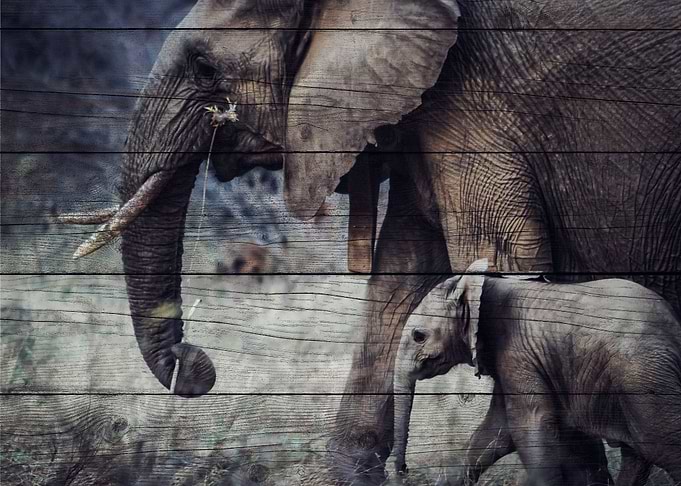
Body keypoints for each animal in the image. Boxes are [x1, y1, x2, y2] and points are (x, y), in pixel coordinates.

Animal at [392, 259, 681, 485]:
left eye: (419, 336)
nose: (404, 470)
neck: (484, 286)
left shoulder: (518, 354)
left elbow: (530, 426)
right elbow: (496, 433)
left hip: (642, 374)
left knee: (662, 443)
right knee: (638, 455)